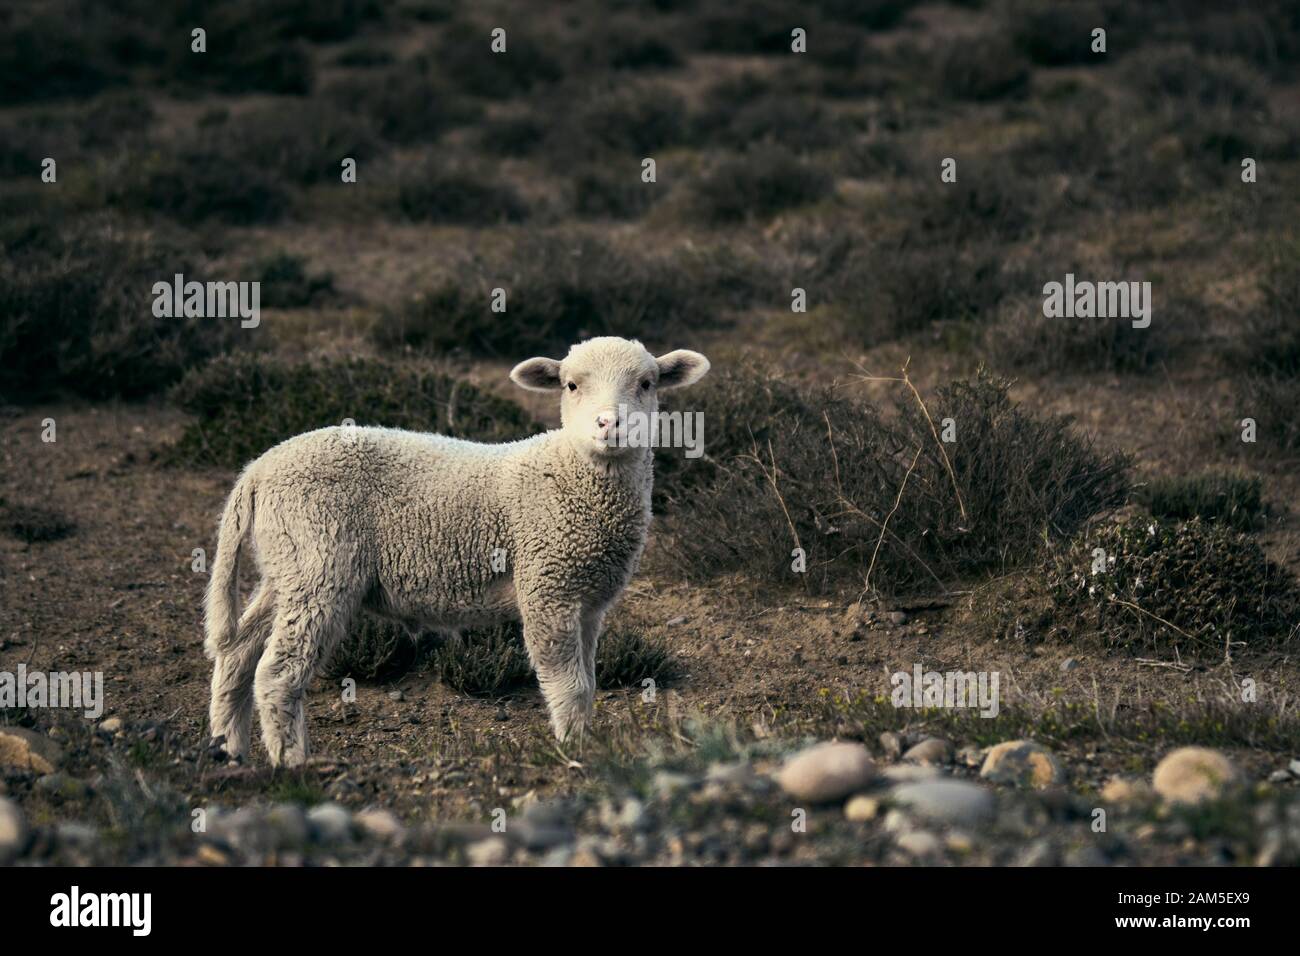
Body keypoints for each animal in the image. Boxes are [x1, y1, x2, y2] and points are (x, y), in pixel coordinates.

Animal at [202, 338, 712, 770]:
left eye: (646, 384)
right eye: (571, 385)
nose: (610, 425)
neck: (571, 474)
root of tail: (257, 470)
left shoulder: (588, 600)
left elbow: (587, 682)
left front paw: (585, 741)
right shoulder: (548, 585)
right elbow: (569, 684)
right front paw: (573, 750)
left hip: (288, 565)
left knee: (238, 652)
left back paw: (229, 747)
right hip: (319, 561)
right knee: (277, 671)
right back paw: (290, 761)